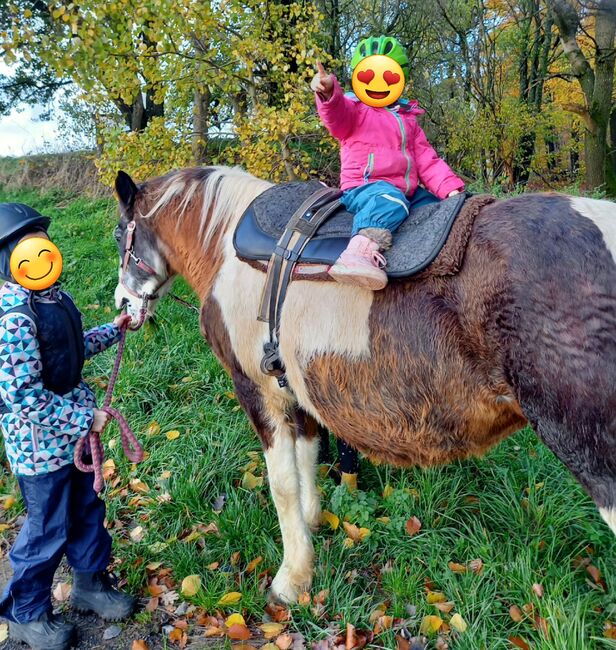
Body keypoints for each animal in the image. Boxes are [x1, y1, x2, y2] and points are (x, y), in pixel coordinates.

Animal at [113, 167, 616, 604]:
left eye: (121, 235)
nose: (122, 304)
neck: (225, 246)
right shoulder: (297, 387)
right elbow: (308, 457)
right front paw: (313, 523)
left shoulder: (257, 390)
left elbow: (282, 483)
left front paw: (292, 578)